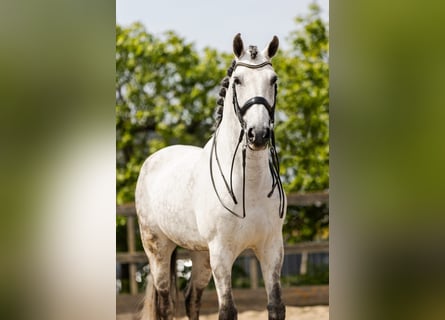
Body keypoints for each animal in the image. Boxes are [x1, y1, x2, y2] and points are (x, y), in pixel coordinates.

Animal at [135, 33, 286, 318]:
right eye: (238, 81)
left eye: (273, 80)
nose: (258, 135)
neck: (248, 186)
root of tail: (152, 159)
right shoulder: (221, 254)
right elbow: (227, 310)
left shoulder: (271, 248)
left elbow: (276, 305)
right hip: (159, 249)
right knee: (165, 303)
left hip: (200, 254)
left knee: (191, 298)